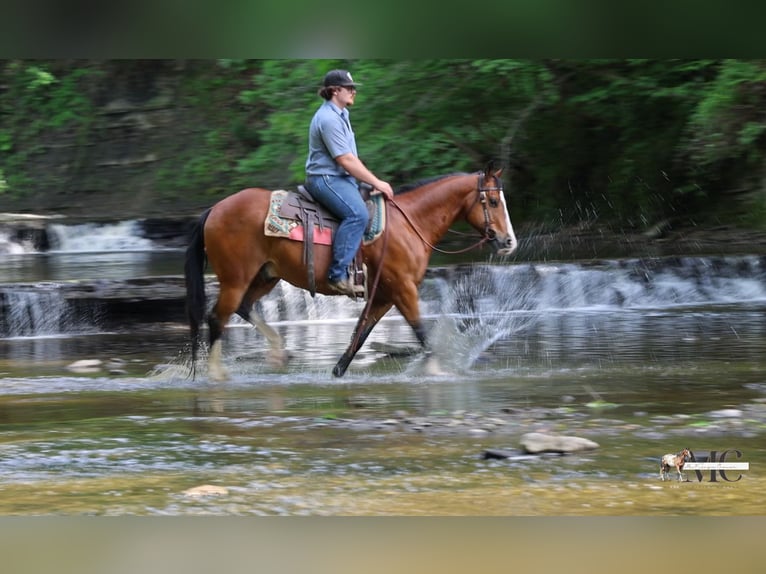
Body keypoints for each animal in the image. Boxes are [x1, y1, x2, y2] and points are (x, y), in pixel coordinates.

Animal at [184, 164, 518, 381]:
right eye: (492, 201)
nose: (508, 242)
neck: (409, 224)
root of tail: (214, 210)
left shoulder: (383, 294)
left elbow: (360, 334)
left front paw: (337, 371)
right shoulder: (403, 288)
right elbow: (421, 332)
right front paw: (439, 370)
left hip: (266, 276)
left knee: (244, 307)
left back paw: (278, 352)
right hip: (236, 279)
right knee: (217, 318)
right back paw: (216, 374)